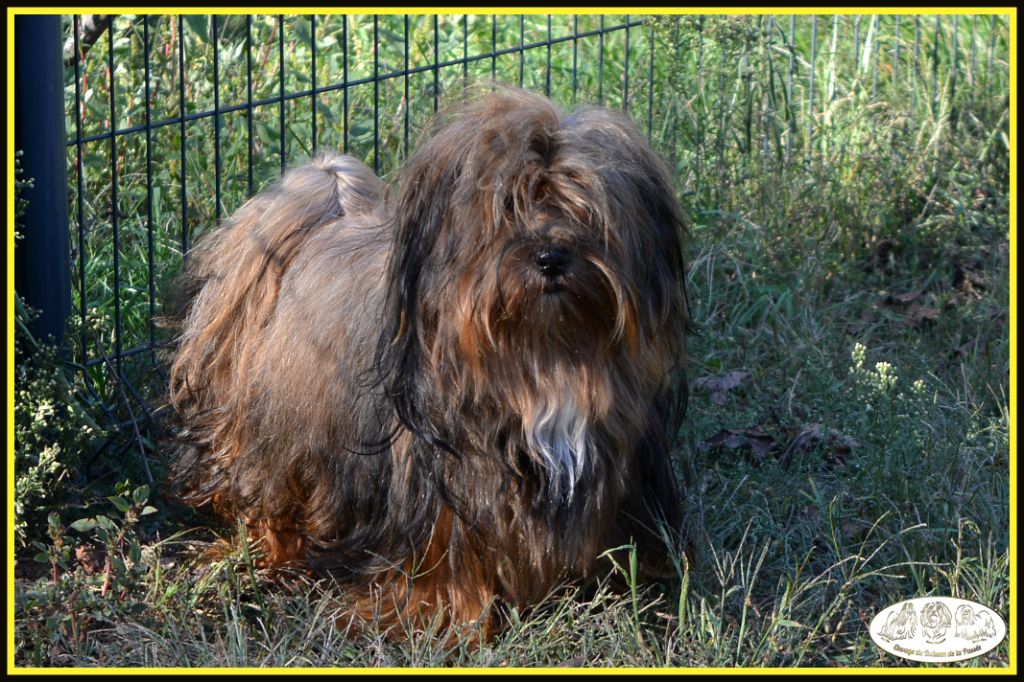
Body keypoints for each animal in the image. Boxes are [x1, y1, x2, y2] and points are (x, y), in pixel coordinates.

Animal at [167, 86, 692, 638]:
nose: (551, 257)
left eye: (584, 208)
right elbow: (444, 557)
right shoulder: (435, 486)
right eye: (508, 209)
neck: (541, 358)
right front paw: (438, 617)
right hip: (269, 438)